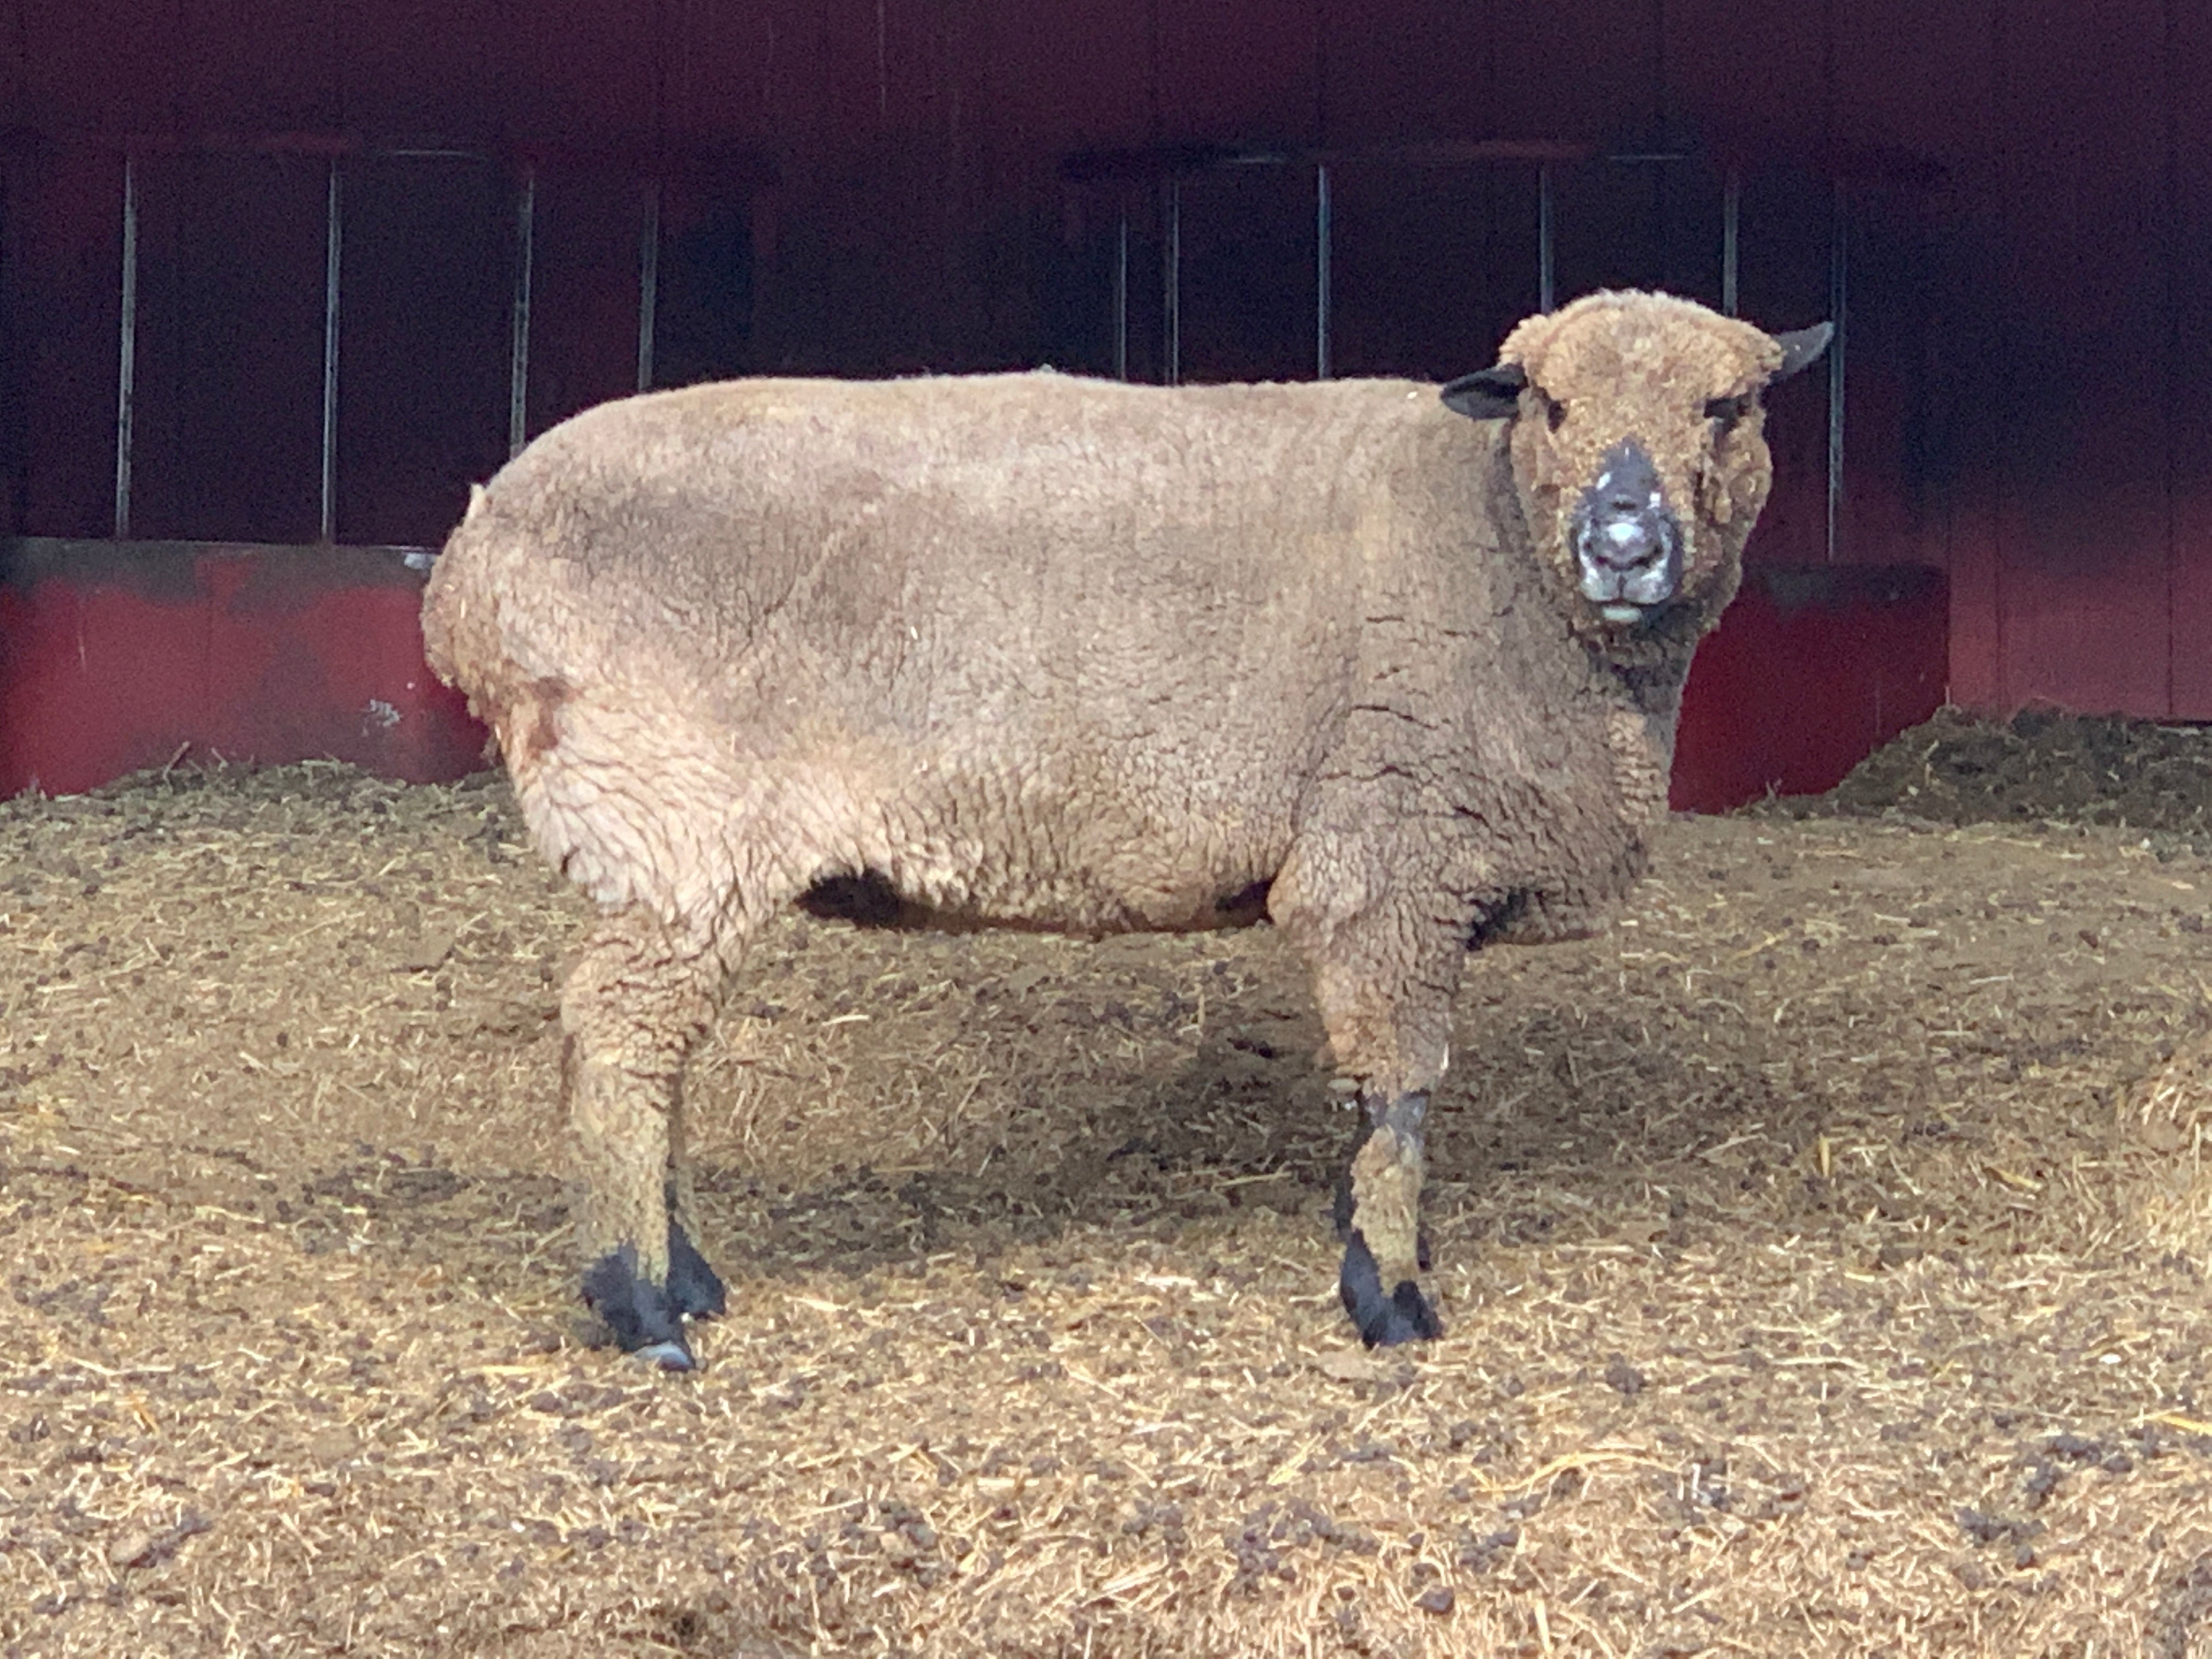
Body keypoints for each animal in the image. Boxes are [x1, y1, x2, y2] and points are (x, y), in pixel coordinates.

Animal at [422, 289, 1830, 1368]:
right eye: (1547, 404)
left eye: (1731, 407)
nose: (1625, 543)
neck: (1495, 539)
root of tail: (468, 571)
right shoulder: (1389, 862)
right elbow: (1399, 1099)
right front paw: (1389, 1294)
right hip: (676, 818)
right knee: (618, 1045)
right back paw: (642, 1306)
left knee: (636, 1049)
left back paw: (685, 1278)